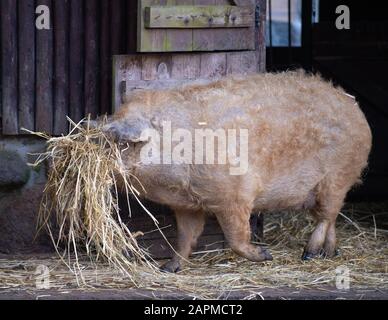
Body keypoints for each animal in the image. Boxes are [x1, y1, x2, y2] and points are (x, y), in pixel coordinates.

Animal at [101, 71, 372, 272]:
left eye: (124, 143)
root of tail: (356, 109)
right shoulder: (188, 205)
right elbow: (185, 237)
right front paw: (169, 268)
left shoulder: (236, 194)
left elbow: (236, 237)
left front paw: (266, 255)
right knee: (331, 218)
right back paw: (328, 253)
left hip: (336, 177)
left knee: (326, 216)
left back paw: (308, 254)